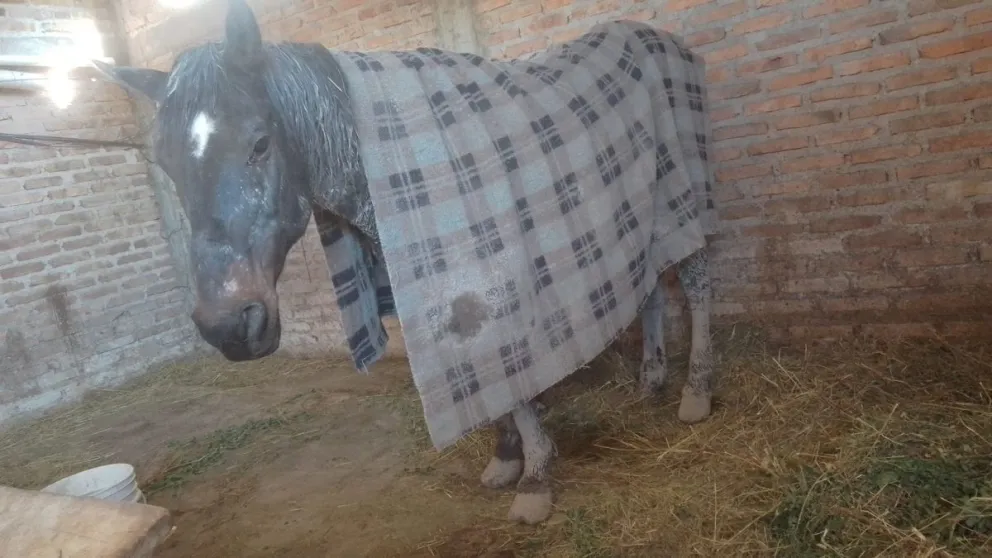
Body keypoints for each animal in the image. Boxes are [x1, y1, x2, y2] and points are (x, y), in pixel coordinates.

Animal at [93, 0, 718, 524]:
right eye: (165, 163)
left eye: (260, 143)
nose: (229, 326)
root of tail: (663, 40)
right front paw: (506, 458)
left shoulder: (485, 281)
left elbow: (507, 377)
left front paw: (535, 479)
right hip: (640, 208)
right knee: (651, 285)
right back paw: (651, 379)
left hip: (689, 196)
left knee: (696, 283)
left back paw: (696, 393)